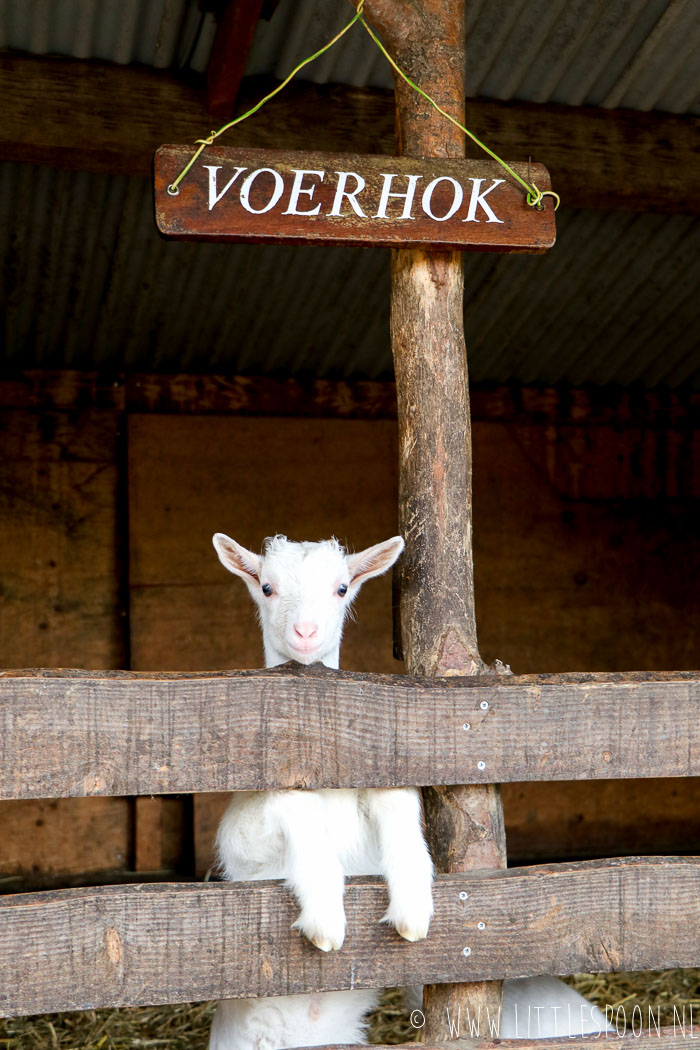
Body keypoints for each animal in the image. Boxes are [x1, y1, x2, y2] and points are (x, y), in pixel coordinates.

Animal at [209, 533, 612, 1050]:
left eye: (342, 588)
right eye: (266, 587)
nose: (305, 631)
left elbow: (394, 798)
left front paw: (414, 907)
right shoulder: (244, 836)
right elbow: (291, 803)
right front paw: (326, 916)